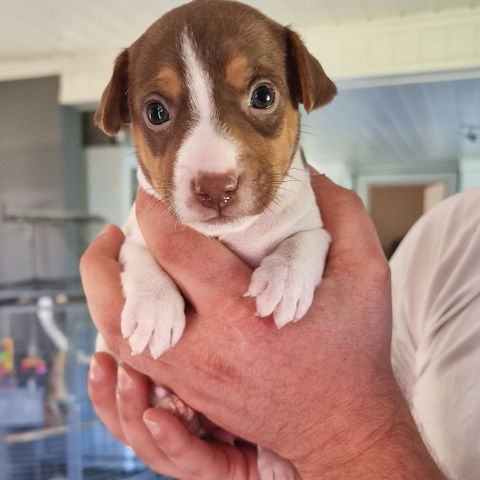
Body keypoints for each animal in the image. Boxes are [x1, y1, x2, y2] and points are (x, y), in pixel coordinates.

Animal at [95, 1, 336, 478]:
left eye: (263, 96)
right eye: (156, 112)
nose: (215, 187)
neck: (232, 236)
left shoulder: (313, 224)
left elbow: (304, 242)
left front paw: (284, 281)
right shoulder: (134, 235)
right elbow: (142, 260)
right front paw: (154, 311)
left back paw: (277, 459)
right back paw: (175, 406)